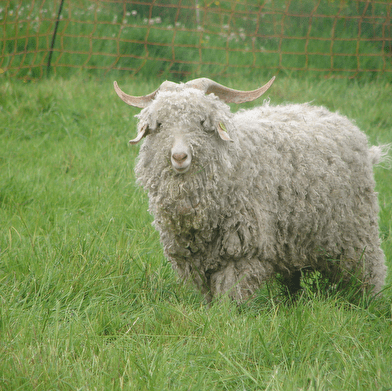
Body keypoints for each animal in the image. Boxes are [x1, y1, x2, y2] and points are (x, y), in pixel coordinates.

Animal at [115, 77, 388, 304]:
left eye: (202, 123)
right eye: (160, 125)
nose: (180, 156)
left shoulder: (243, 249)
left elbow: (230, 296)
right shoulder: (194, 256)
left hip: (356, 231)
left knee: (369, 269)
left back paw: (368, 303)